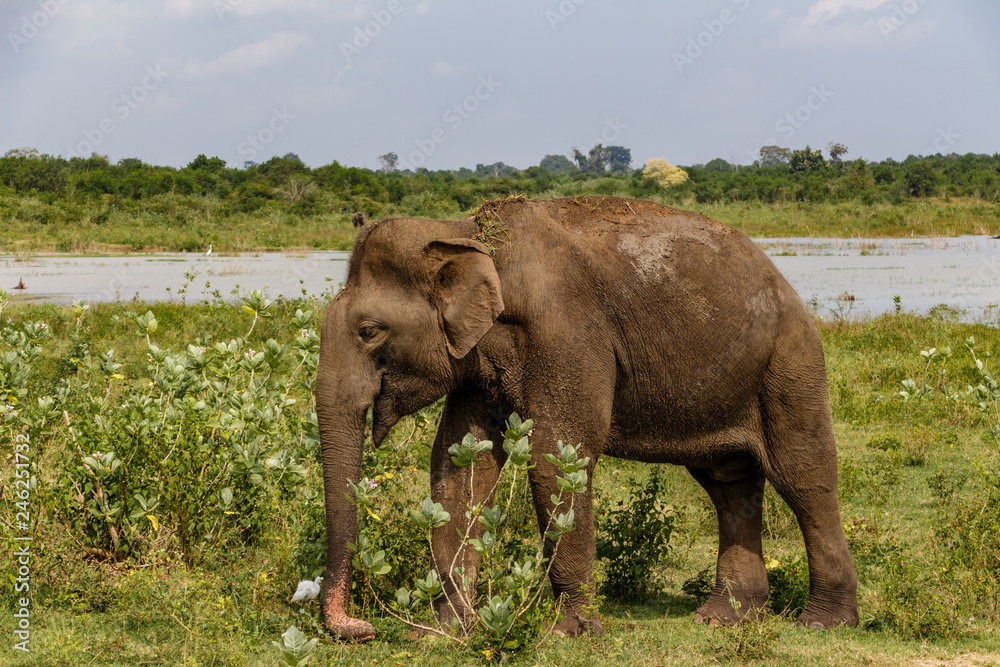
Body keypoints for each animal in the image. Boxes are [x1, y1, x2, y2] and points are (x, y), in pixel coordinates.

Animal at [318, 196, 860, 640]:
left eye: (369, 331)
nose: (362, 628)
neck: (463, 231)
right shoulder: (475, 358)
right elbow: (462, 463)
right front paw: (444, 632)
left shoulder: (568, 333)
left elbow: (559, 456)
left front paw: (571, 633)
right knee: (728, 482)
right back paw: (723, 619)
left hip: (790, 361)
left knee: (802, 475)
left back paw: (823, 623)